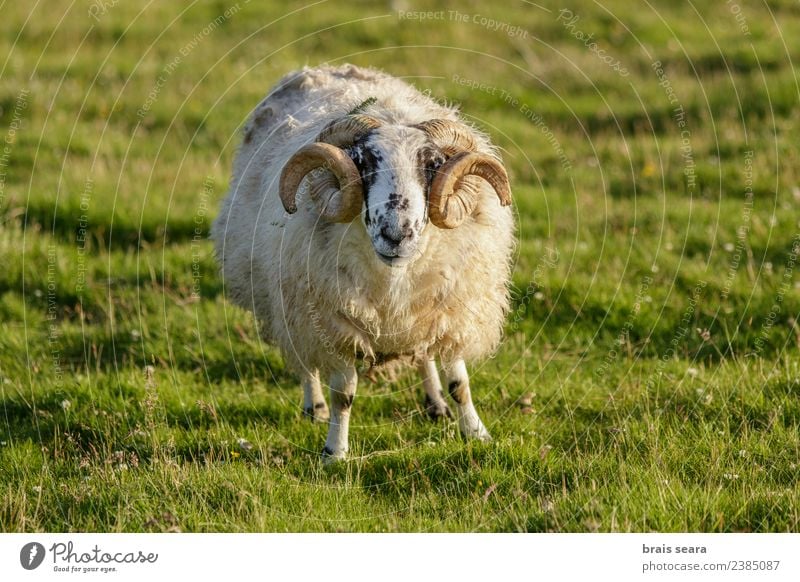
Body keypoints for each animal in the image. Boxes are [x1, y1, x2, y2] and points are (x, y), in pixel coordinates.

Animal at [211, 64, 512, 464]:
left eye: (433, 164)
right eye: (363, 163)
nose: (397, 234)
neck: (393, 280)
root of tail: (319, 68)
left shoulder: (450, 310)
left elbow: (459, 382)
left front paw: (477, 433)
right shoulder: (334, 322)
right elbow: (344, 395)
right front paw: (335, 452)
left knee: (423, 354)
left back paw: (434, 404)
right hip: (290, 302)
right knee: (306, 362)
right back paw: (314, 406)